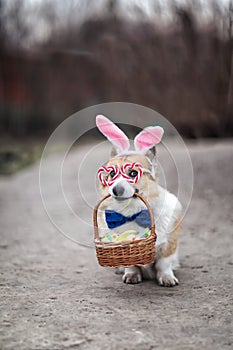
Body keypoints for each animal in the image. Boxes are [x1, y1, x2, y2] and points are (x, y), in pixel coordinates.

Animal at [95, 115, 182, 288]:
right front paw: (131, 275)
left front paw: (167, 278)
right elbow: (131, 265)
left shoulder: (168, 245)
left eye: (133, 173)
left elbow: (163, 264)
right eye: (112, 174)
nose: (116, 190)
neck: (132, 213)